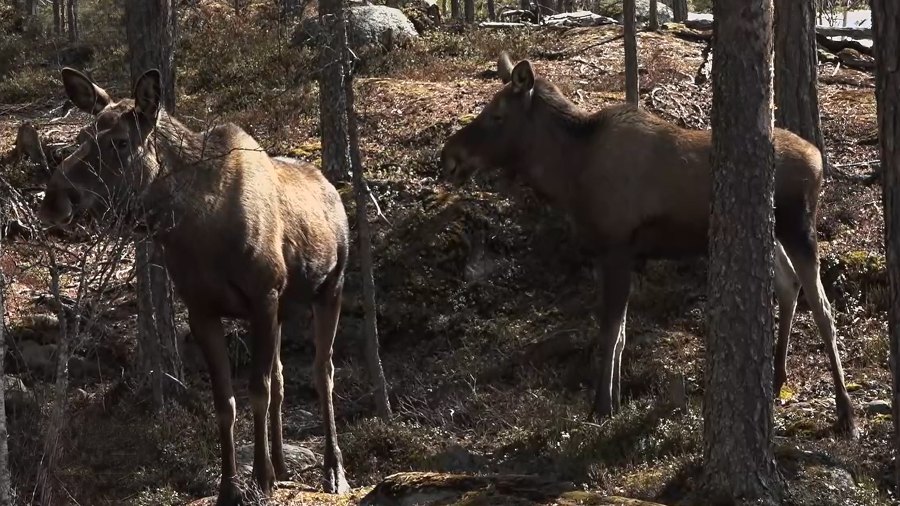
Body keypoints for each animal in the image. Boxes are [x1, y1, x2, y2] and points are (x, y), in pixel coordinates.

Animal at [39, 69, 356, 504]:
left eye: (120, 142)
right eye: (84, 134)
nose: (53, 199)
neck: (195, 226)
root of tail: (332, 189)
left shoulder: (262, 296)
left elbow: (256, 390)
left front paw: (260, 479)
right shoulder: (201, 308)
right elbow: (226, 401)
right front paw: (230, 487)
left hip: (330, 289)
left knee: (323, 372)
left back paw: (333, 469)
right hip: (284, 309)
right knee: (281, 376)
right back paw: (282, 464)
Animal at [442, 52, 856, 438]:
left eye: (497, 115)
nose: (450, 157)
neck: (568, 175)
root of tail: (820, 160)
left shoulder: (617, 247)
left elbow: (609, 332)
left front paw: (601, 405)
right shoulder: (613, 253)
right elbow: (622, 332)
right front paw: (615, 399)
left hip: (799, 227)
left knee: (823, 308)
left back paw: (845, 411)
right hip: (774, 231)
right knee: (789, 285)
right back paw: (777, 376)